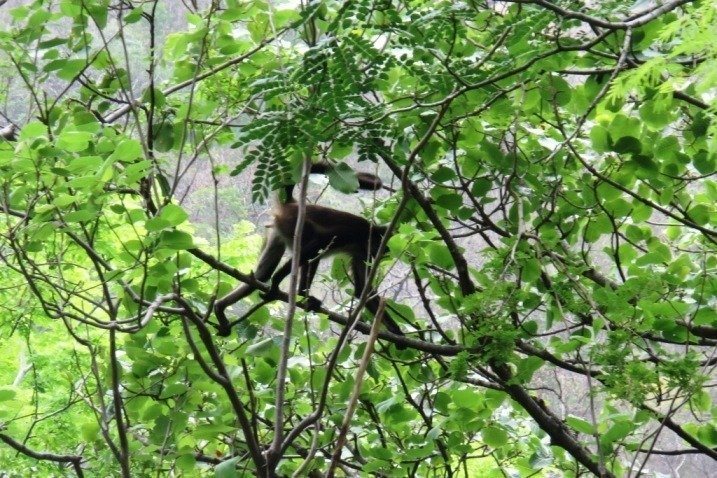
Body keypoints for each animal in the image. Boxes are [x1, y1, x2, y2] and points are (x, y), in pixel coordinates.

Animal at [213, 162, 406, 346]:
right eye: (385, 249)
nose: (384, 256)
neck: (368, 234)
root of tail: (292, 203)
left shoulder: (362, 252)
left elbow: (361, 290)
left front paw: (397, 332)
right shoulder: (353, 235)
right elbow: (321, 243)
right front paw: (277, 282)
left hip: (278, 231)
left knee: (261, 275)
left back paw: (220, 307)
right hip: (293, 224)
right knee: (312, 249)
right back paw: (289, 289)